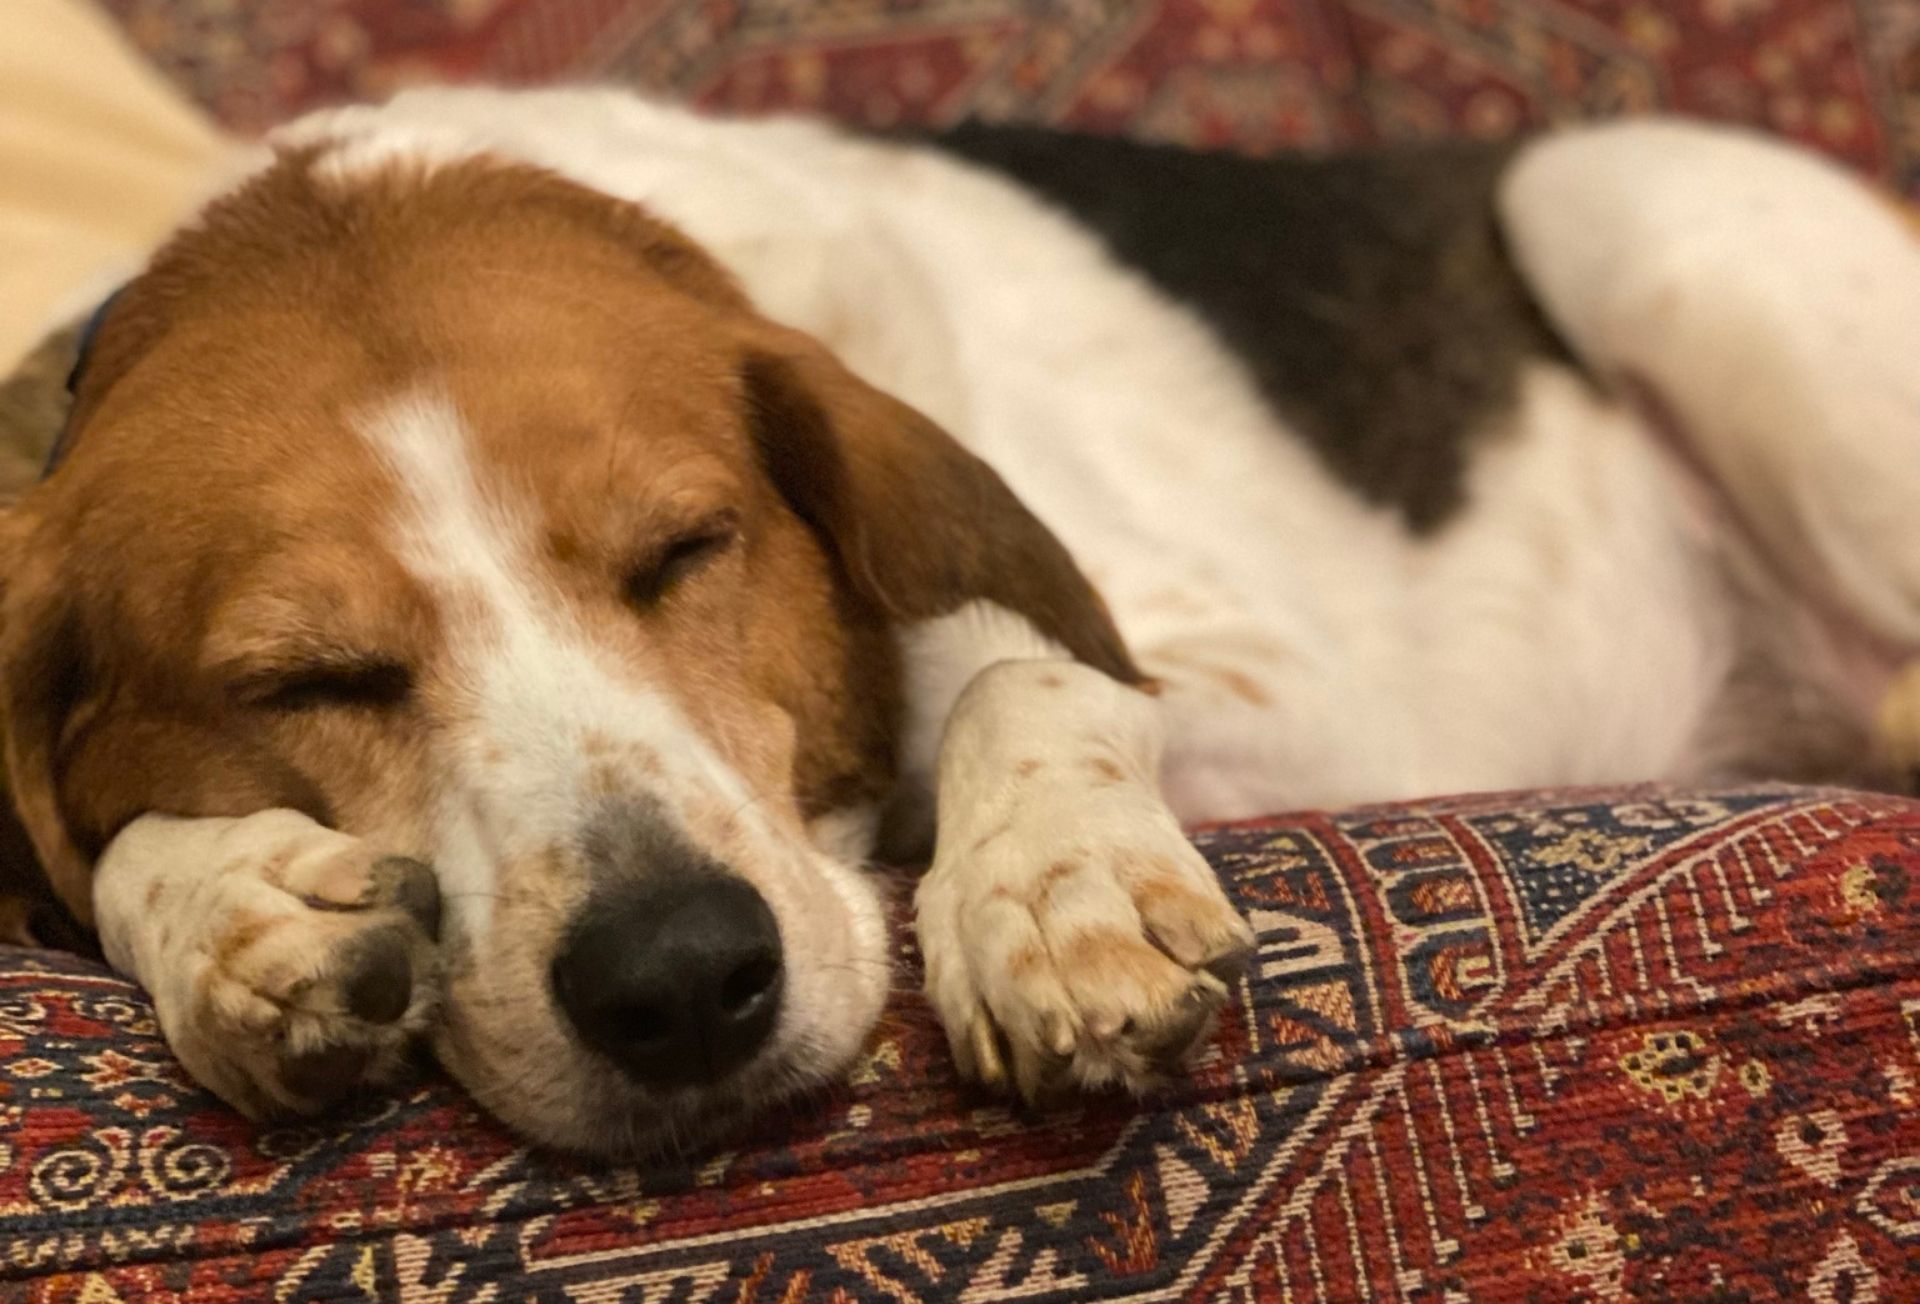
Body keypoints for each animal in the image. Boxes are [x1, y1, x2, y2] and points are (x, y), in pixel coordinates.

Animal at [3, 89, 1920, 1152]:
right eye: (306, 678)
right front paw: (232, 907)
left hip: (1628, 208)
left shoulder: (1298, 681)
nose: (677, 982)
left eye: (687, 550)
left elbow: (1002, 666)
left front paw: (1054, 895)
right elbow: (115, 867)